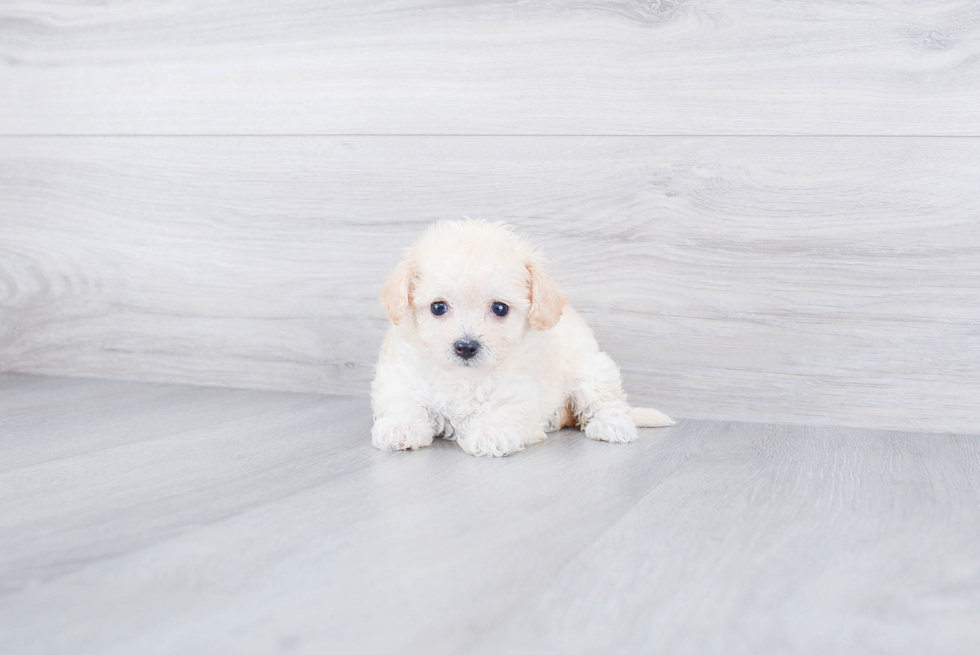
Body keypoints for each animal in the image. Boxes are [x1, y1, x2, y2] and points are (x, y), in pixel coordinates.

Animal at [370, 220, 672, 456]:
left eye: (500, 308)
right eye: (437, 307)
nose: (466, 347)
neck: (464, 377)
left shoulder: (518, 395)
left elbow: (506, 413)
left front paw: (488, 432)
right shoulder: (403, 378)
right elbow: (403, 402)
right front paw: (400, 426)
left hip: (592, 371)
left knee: (609, 402)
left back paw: (612, 425)